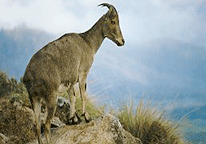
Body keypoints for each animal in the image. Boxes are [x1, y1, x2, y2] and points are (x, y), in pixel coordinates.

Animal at [23, 2, 124, 144]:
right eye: (113, 21)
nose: (122, 41)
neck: (88, 42)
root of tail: (30, 76)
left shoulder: (69, 82)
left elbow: (72, 96)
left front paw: (73, 120)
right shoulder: (83, 72)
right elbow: (83, 93)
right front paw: (86, 117)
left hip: (34, 98)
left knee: (37, 124)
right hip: (51, 96)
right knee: (46, 124)